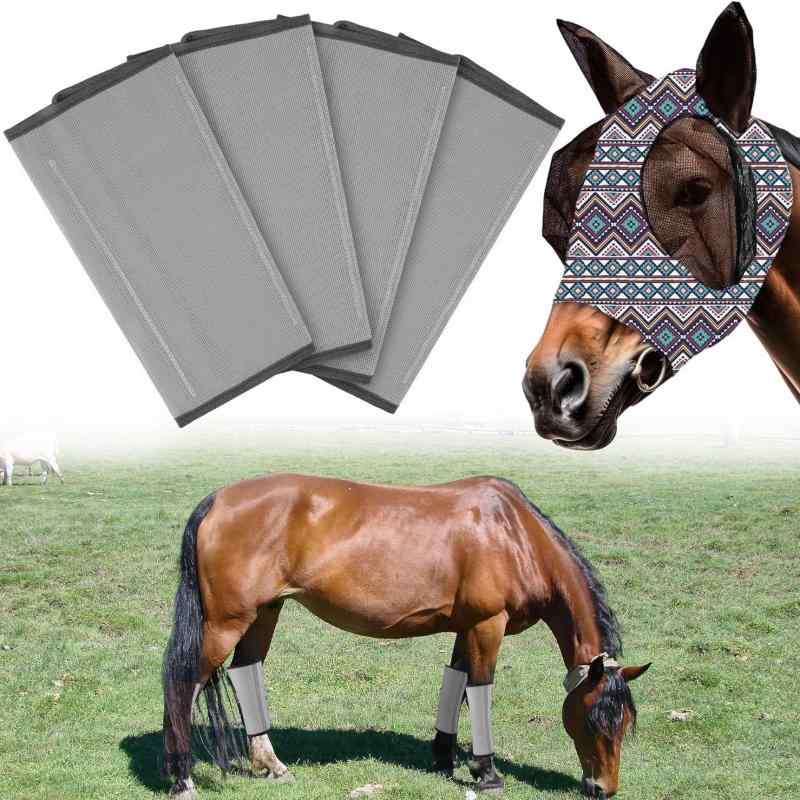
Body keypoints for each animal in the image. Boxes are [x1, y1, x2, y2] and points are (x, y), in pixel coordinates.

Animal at [161, 474, 650, 799]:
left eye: (625, 721)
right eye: (594, 719)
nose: (603, 788)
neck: (513, 533)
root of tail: (217, 500)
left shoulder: (465, 627)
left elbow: (456, 684)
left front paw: (444, 756)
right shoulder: (487, 624)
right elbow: (481, 689)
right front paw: (487, 772)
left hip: (263, 613)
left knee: (246, 672)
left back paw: (271, 764)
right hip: (225, 622)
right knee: (182, 684)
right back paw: (181, 778)